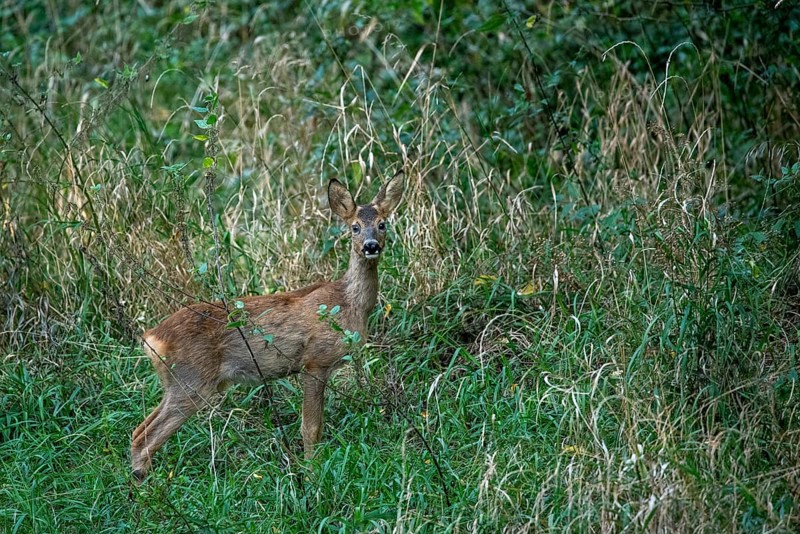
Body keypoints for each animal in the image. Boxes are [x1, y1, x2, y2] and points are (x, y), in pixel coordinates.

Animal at [130, 172, 405, 482]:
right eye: (355, 227)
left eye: (382, 224)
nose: (371, 246)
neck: (348, 304)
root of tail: (151, 338)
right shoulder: (315, 361)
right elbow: (311, 428)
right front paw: (312, 475)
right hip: (192, 380)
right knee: (144, 436)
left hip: (180, 382)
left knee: (138, 430)